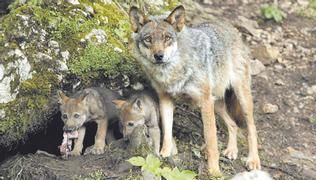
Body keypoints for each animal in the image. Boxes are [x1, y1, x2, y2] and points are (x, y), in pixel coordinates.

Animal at [130, 4, 260, 175]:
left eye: (167, 38)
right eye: (148, 39)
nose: (159, 56)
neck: (173, 72)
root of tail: (230, 27)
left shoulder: (205, 103)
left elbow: (211, 142)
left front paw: (214, 171)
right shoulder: (165, 99)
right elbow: (167, 130)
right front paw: (164, 154)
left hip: (240, 99)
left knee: (251, 128)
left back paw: (253, 160)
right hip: (216, 104)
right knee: (233, 125)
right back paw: (232, 150)